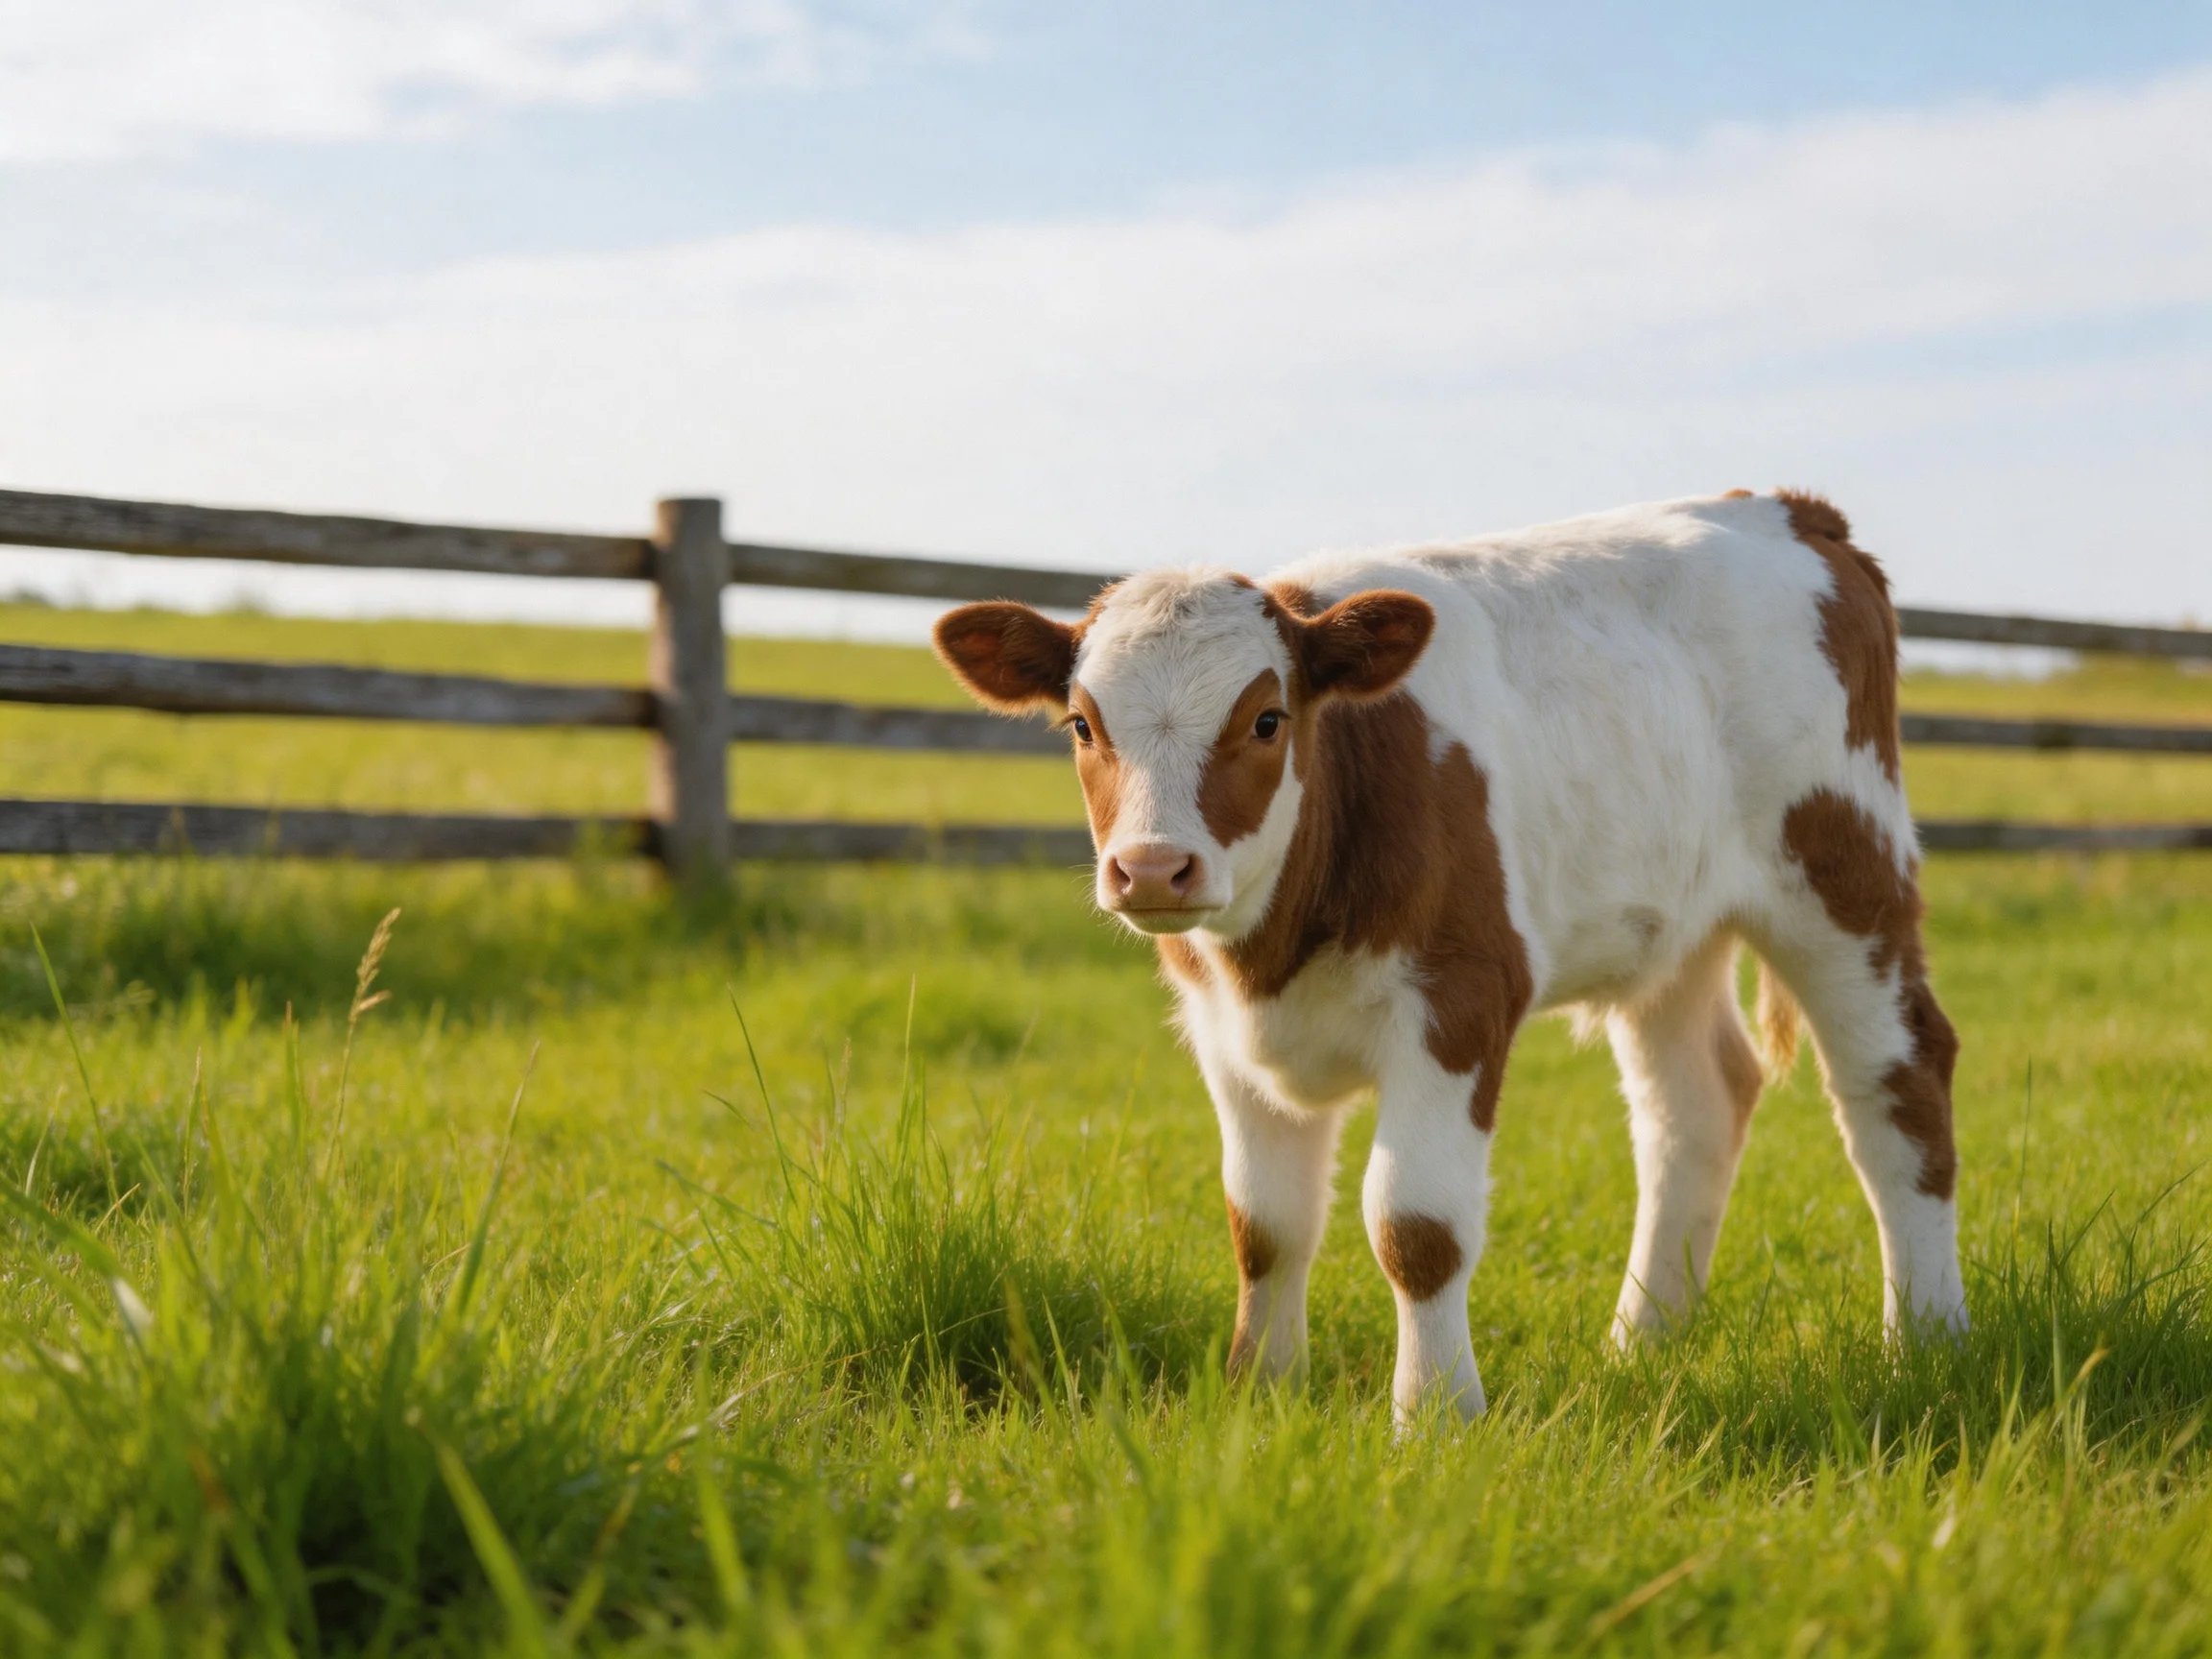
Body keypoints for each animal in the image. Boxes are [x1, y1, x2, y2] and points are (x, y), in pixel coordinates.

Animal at [933, 490, 1964, 1424]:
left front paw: (1434, 1415)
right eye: (1082, 725)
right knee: (1697, 1106)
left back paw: (1926, 1341)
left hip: (1846, 874)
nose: (1152, 867)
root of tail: (1787, 508)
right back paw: (1643, 1345)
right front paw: (1260, 1395)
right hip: (1674, 933)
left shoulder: (1460, 997)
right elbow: (1265, 1225)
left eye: (1266, 720)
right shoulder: (1223, 1033)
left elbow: (1415, 1226)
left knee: (1897, 1084)